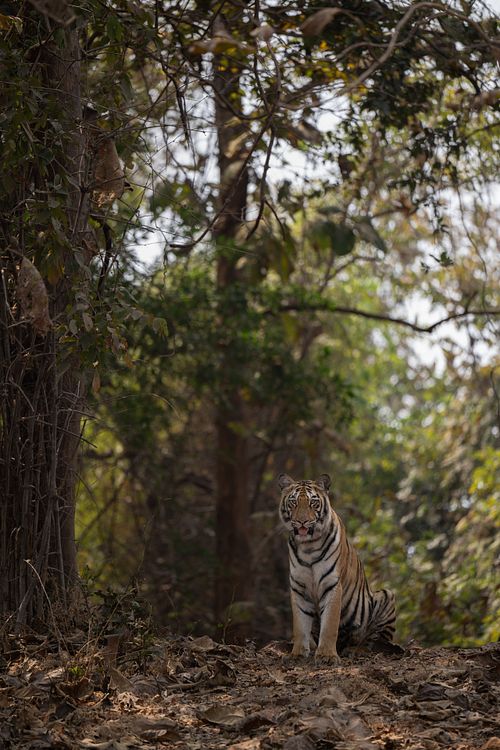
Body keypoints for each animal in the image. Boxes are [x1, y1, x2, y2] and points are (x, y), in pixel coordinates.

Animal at [278, 473, 396, 662]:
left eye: (313, 502)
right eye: (293, 502)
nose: (302, 522)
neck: (308, 546)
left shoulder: (332, 585)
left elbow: (330, 625)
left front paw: (326, 655)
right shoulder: (298, 588)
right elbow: (300, 626)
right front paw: (297, 654)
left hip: (386, 595)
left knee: (376, 641)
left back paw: (357, 650)